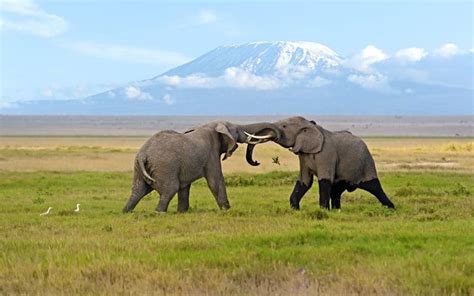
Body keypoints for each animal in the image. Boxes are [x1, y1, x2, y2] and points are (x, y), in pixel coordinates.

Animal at [121, 120, 282, 213]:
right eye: (237, 130)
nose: (257, 162)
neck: (211, 125)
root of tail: (143, 154)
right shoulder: (211, 154)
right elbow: (215, 181)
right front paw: (227, 211)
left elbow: (185, 187)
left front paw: (182, 212)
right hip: (165, 167)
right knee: (169, 190)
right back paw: (158, 213)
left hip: (139, 168)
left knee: (138, 191)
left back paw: (126, 212)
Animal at [244, 115, 396, 210]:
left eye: (284, 126)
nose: (256, 161)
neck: (310, 126)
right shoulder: (303, 155)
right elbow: (304, 181)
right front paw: (295, 210)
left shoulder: (326, 154)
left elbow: (324, 181)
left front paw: (323, 211)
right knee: (336, 191)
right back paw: (337, 211)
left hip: (366, 162)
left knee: (374, 187)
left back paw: (391, 209)